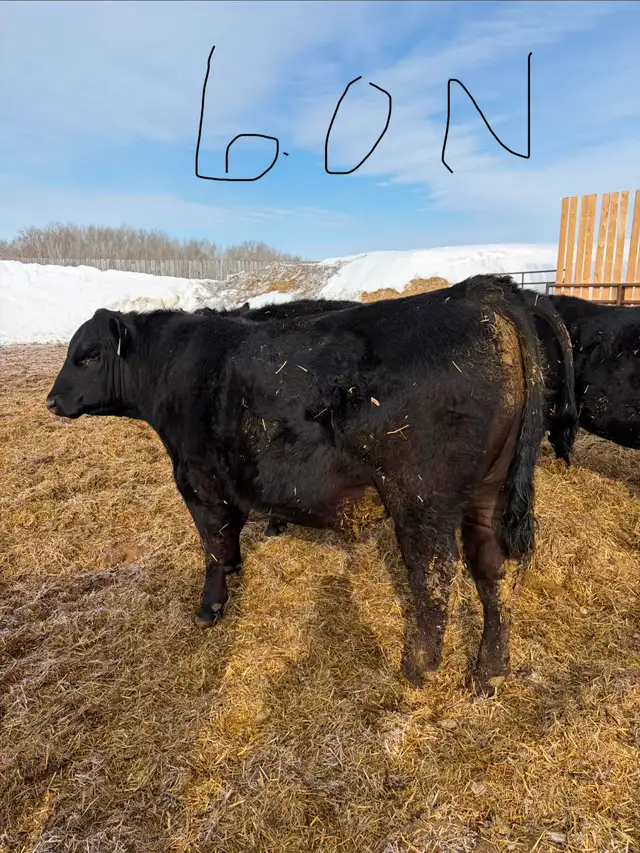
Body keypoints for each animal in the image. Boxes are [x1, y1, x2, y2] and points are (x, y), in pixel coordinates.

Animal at [46, 274, 556, 693]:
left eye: (89, 355)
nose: (51, 400)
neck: (174, 366)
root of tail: (479, 291)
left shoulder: (198, 481)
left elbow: (212, 546)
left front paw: (210, 607)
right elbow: (230, 538)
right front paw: (237, 568)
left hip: (421, 497)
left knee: (435, 574)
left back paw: (420, 668)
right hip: (489, 494)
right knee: (493, 570)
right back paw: (490, 672)